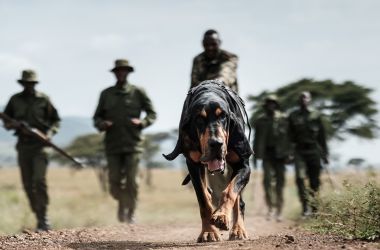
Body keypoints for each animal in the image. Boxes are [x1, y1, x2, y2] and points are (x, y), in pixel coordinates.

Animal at [163, 80, 252, 242]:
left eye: (223, 116)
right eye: (199, 119)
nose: (216, 143)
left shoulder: (243, 166)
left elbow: (230, 192)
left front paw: (222, 217)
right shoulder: (193, 166)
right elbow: (204, 201)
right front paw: (208, 232)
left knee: (239, 201)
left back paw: (238, 230)